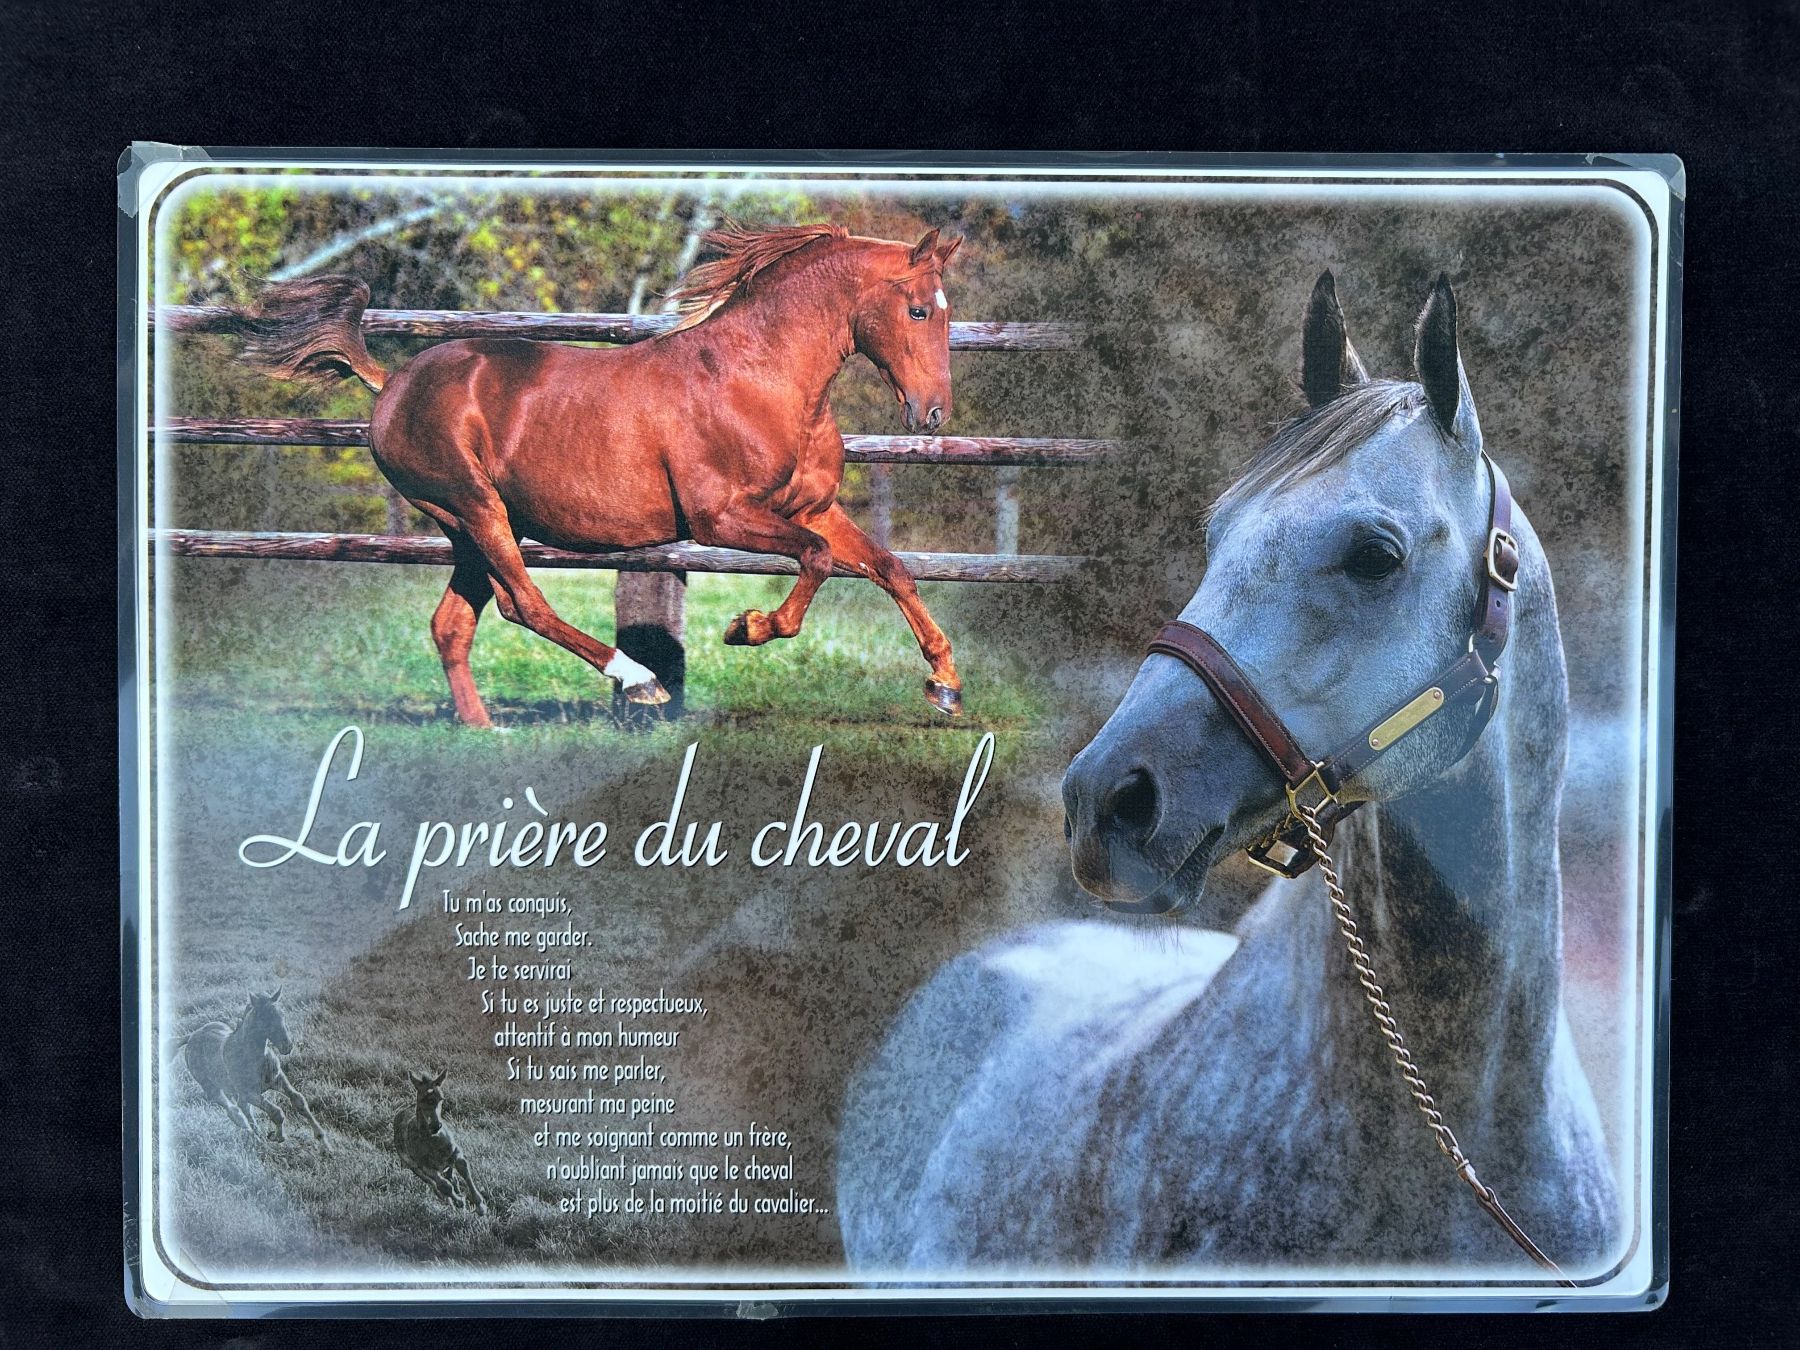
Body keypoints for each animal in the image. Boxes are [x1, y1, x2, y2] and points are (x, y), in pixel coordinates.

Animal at [175, 987, 327, 1147]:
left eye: (282, 1014)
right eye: (265, 1018)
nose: (287, 1046)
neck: (253, 1056)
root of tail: (191, 1036)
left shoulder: (278, 1079)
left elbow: (299, 1101)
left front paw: (323, 1140)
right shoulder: (249, 1093)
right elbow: (276, 1112)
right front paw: (278, 1137)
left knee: (243, 1108)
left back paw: (258, 1136)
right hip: (212, 1089)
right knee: (235, 1112)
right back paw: (257, 1139)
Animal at [203, 220, 968, 720]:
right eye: (918, 309)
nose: (932, 413)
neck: (758, 378)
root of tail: (391, 381)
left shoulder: (813, 508)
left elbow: (890, 567)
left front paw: (946, 685)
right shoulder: (720, 518)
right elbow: (815, 560)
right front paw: (746, 628)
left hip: (469, 527)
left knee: (453, 624)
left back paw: (484, 730)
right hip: (475, 508)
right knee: (523, 604)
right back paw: (638, 681)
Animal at [393, 1069, 486, 1212]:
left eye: (441, 1098)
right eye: (422, 1099)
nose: (435, 1126)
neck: (433, 1142)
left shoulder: (456, 1153)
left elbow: (464, 1170)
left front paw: (480, 1206)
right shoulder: (426, 1167)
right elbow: (444, 1186)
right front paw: (460, 1202)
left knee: (452, 1178)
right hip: (415, 1169)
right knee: (436, 1186)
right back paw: (453, 1203)